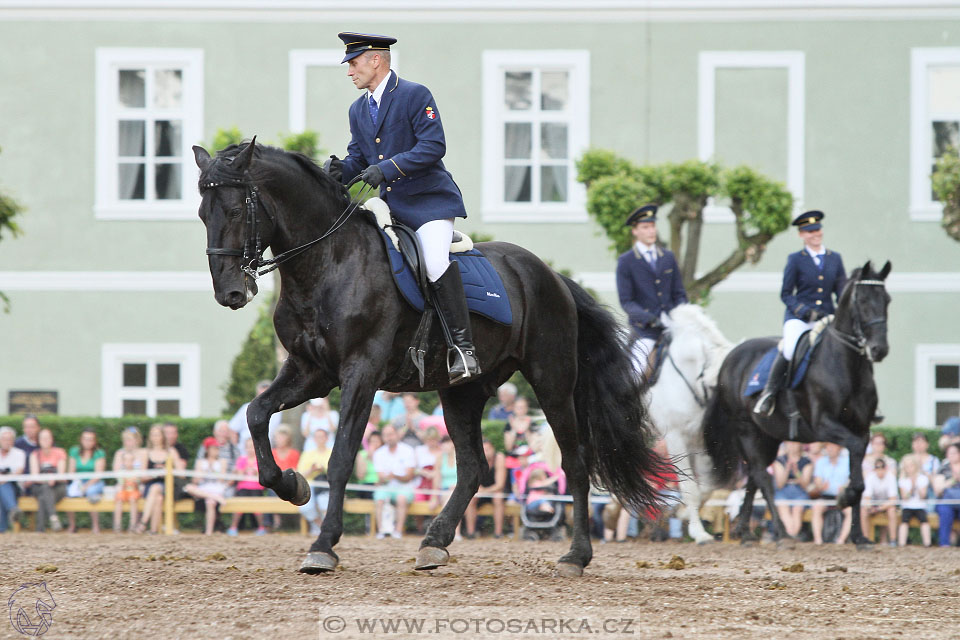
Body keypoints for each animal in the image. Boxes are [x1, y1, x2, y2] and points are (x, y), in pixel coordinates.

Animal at [190, 140, 664, 576]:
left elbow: (340, 456)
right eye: (202, 215)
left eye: (235, 210)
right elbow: (256, 413)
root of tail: (553, 277)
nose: (230, 292)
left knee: (574, 462)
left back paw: (575, 556)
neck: (327, 263)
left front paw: (323, 545)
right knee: (473, 467)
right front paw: (293, 485)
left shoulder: (360, 372)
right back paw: (434, 542)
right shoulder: (310, 372)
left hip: (552, 381)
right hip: (462, 391)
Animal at [696, 258, 892, 544]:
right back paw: (781, 533)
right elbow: (855, 471)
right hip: (747, 429)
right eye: (863, 300)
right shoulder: (825, 426)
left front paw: (858, 536)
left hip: (769, 436)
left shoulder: (861, 429)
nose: (879, 350)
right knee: (762, 477)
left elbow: (859, 479)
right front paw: (843, 499)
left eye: (887, 300)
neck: (847, 365)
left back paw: (745, 531)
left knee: (754, 477)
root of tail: (731, 357)